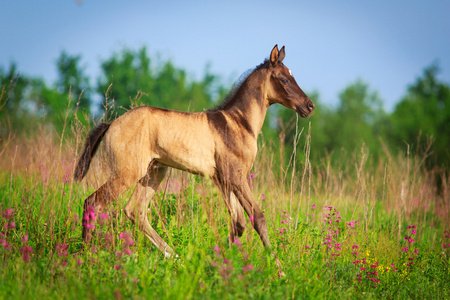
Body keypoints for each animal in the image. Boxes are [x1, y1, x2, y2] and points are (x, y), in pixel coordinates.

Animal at [74, 45, 314, 258]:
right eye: (284, 79)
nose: (309, 106)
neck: (239, 123)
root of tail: (111, 124)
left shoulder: (224, 180)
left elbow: (238, 224)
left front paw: (214, 258)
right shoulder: (236, 177)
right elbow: (258, 218)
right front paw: (278, 267)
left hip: (153, 173)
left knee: (135, 211)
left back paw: (175, 257)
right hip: (127, 173)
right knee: (93, 202)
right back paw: (86, 256)